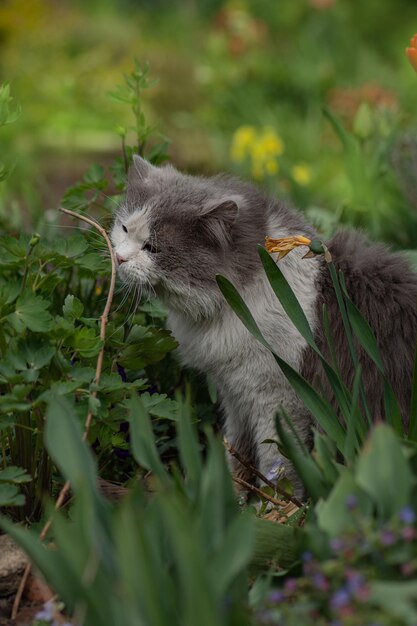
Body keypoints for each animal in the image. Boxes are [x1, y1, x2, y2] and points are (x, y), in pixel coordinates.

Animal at [109, 155, 416, 488]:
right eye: (124, 228)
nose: (119, 258)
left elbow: (277, 466)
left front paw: (268, 503)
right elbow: (235, 452)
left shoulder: (278, 401)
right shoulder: (235, 396)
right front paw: (230, 492)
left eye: (152, 248)